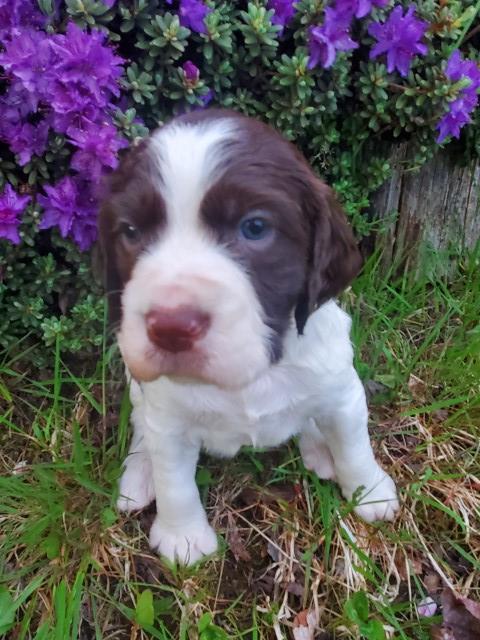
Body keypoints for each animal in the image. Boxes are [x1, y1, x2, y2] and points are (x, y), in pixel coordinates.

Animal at [99, 110, 400, 564]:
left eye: (255, 227)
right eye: (131, 232)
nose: (171, 327)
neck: (258, 370)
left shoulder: (341, 389)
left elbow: (353, 444)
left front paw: (371, 494)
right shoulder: (167, 419)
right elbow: (174, 480)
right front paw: (183, 538)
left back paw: (318, 447)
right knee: (140, 424)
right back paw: (139, 474)